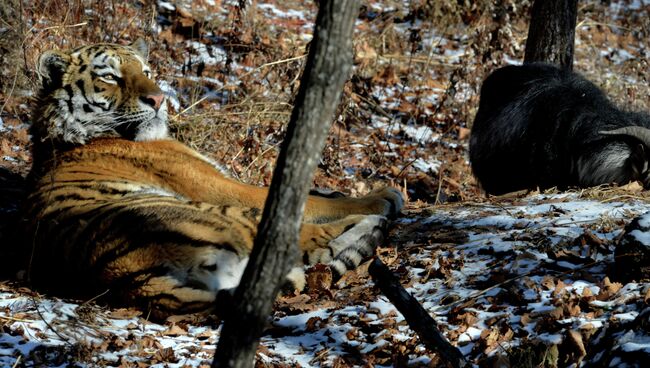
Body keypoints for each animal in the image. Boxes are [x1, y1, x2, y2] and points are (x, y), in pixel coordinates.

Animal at [22, 39, 402, 320]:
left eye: (145, 71)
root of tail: (131, 281)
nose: (159, 98)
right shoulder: (222, 186)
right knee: (312, 241)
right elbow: (311, 201)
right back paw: (374, 219)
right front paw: (382, 195)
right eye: (111, 77)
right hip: (224, 216)